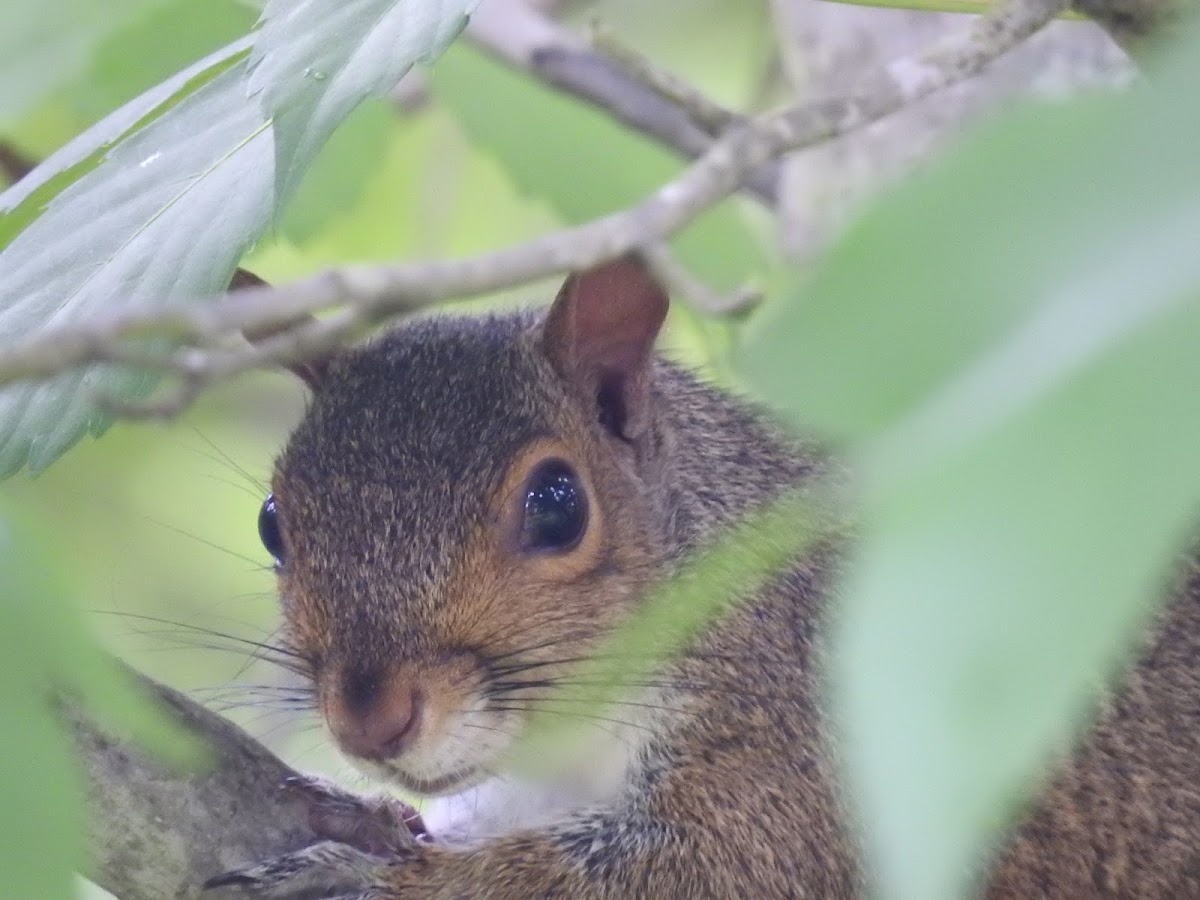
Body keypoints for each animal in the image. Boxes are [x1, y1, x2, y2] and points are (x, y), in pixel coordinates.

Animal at [206, 256, 1200, 897]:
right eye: (271, 523)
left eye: (558, 505)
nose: (369, 720)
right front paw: (363, 819)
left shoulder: (801, 732)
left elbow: (716, 865)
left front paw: (382, 877)